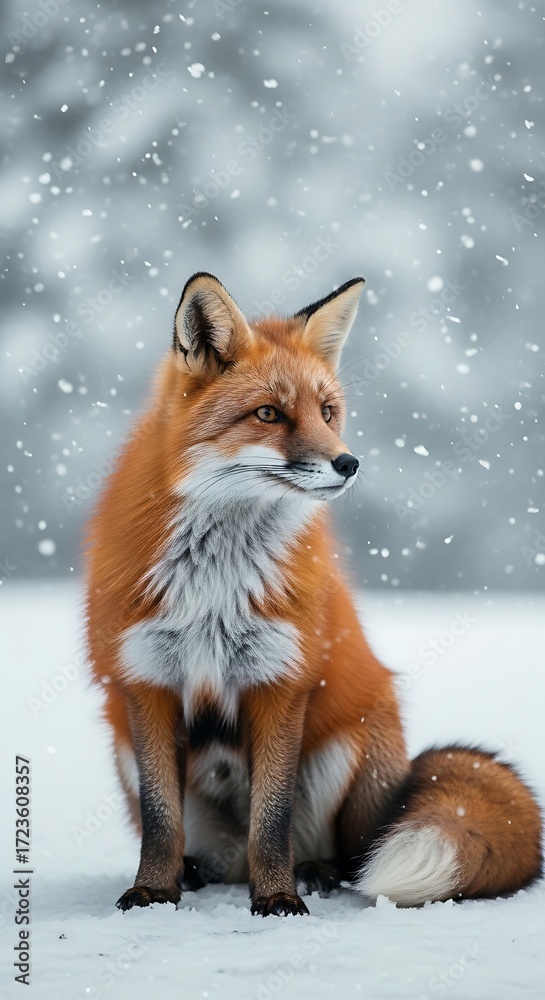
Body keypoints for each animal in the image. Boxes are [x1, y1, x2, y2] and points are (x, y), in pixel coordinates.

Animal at [85, 271, 542, 916]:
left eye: (327, 412)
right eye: (269, 413)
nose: (348, 463)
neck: (216, 583)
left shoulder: (281, 680)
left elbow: (271, 821)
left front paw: (278, 898)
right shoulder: (145, 682)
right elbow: (159, 819)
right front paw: (152, 890)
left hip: (346, 749)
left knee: (348, 856)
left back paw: (314, 872)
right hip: (123, 740)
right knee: (216, 853)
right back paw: (198, 872)